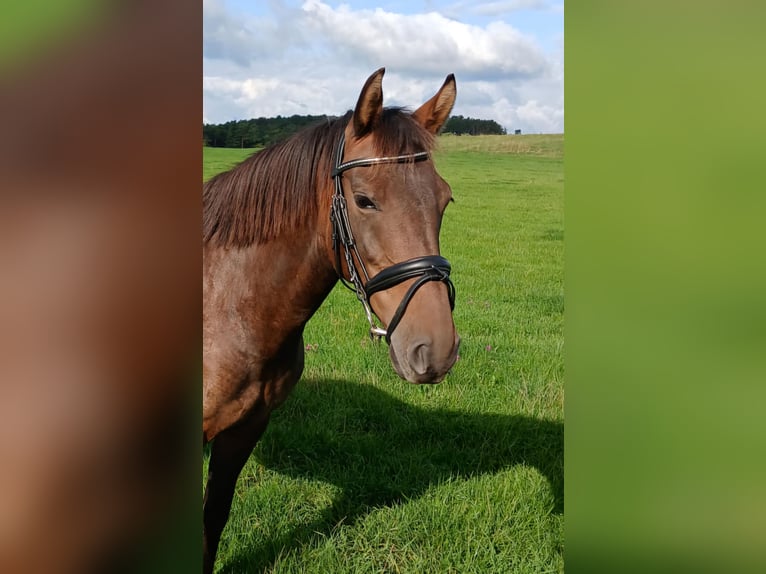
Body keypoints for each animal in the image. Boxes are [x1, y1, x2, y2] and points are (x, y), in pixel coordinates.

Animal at [202, 68, 459, 572]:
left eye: (444, 201)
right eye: (364, 200)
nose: (435, 349)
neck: (225, 303)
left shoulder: (243, 429)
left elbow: (213, 519)